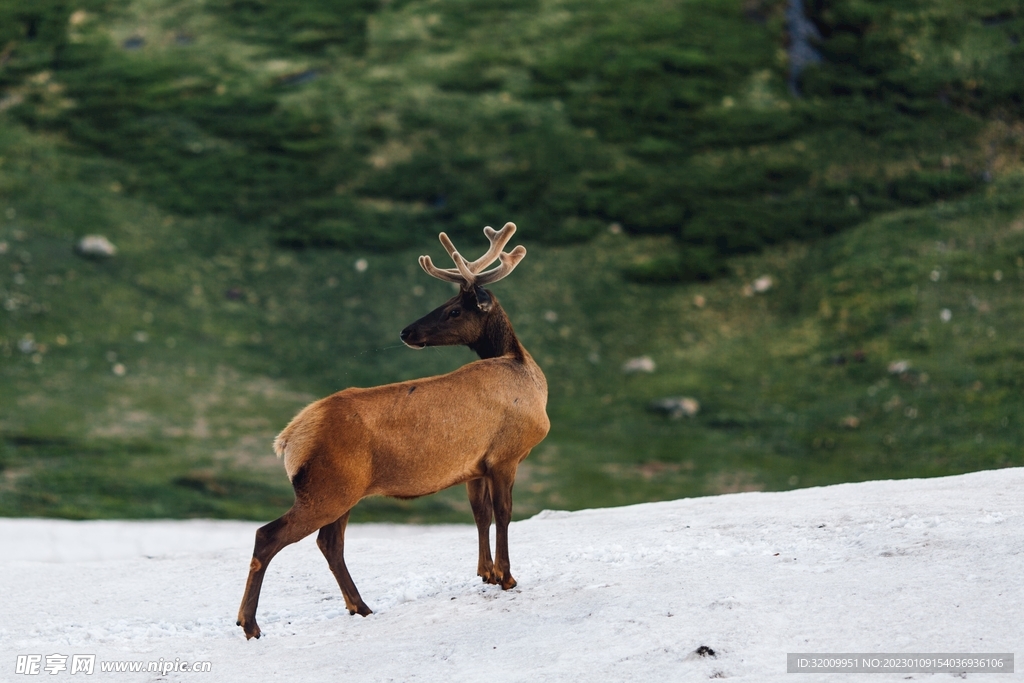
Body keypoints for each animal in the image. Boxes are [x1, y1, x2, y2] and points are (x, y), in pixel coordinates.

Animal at [236, 222, 550, 639]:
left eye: (453, 308)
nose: (406, 332)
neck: (526, 373)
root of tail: (287, 439)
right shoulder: (505, 455)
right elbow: (503, 513)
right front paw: (507, 577)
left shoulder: (475, 466)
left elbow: (480, 514)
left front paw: (485, 572)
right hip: (327, 489)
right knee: (268, 536)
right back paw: (250, 623)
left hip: (340, 491)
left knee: (329, 544)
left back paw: (360, 606)